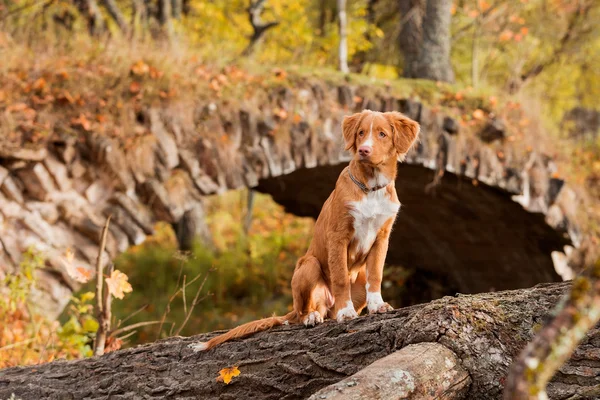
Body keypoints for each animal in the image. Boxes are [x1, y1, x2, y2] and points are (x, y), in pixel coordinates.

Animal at [190, 111, 420, 352]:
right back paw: (313, 316)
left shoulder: (381, 238)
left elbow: (376, 275)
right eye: (360, 133)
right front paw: (346, 312)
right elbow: (340, 277)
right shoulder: (338, 236)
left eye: (382, 134)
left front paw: (378, 305)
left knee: (329, 310)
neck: (371, 189)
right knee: (304, 312)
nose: (363, 150)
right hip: (308, 265)